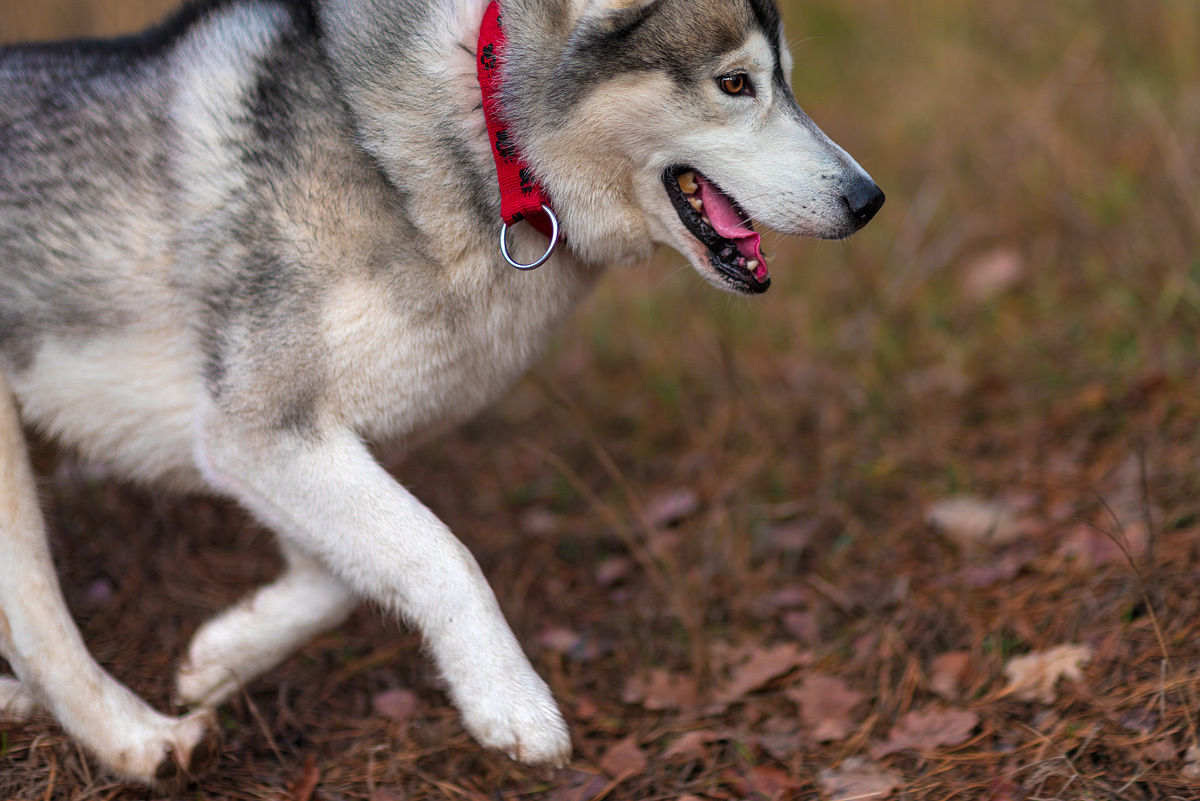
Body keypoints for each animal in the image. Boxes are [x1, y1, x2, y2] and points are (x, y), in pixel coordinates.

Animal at [0, 0, 883, 786]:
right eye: (735, 83)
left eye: (786, 81)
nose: (867, 200)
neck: (486, 133)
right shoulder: (259, 428)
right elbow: (442, 552)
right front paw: (510, 701)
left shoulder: (298, 447)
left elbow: (339, 581)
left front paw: (223, 652)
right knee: (41, 618)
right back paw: (135, 738)